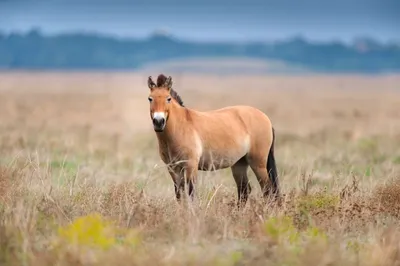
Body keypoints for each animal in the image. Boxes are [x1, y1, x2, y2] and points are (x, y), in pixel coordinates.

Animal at [145, 74, 280, 207]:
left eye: (168, 98)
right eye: (150, 99)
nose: (159, 122)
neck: (181, 127)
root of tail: (265, 118)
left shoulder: (191, 165)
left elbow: (191, 193)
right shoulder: (173, 168)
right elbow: (179, 195)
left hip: (258, 163)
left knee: (267, 189)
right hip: (239, 163)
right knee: (244, 190)